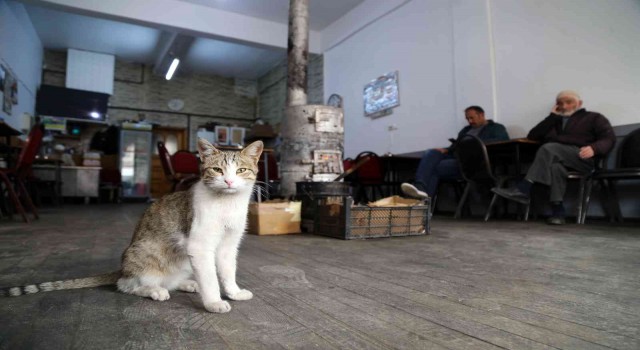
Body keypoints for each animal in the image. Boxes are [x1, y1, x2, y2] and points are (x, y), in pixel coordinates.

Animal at [2, 138, 262, 314]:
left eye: (241, 170)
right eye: (217, 170)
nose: (229, 181)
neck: (227, 205)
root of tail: (123, 269)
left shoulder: (228, 245)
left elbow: (227, 271)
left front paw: (234, 292)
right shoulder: (199, 246)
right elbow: (209, 277)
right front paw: (214, 302)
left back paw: (187, 283)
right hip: (144, 253)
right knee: (126, 284)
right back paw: (155, 289)